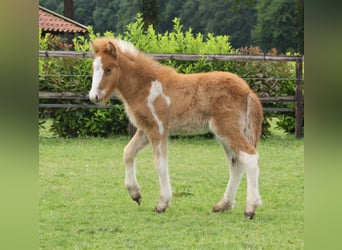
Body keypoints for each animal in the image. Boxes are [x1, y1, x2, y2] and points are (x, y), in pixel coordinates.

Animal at [89, 37, 264, 219]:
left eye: (109, 69)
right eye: (94, 68)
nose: (94, 97)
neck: (146, 86)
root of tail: (248, 90)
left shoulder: (157, 129)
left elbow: (160, 163)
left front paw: (162, 204)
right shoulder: (145, 130)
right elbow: (128, 153)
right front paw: (135, 194)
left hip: (227, 129)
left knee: (250, 156)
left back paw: (250, 208)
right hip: (223, 135)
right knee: (236, 163)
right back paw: (222, 205)